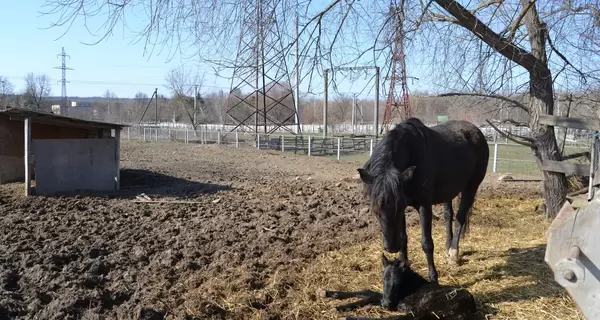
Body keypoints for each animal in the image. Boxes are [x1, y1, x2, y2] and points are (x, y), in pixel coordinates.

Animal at [324, 255, 478, 320]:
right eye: (383, 278)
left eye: (398, 283)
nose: (386, 305)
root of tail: (469, 306)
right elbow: (367, 292)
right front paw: (332, 294)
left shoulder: (397, 303)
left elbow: (370, 295)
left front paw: (340, 307)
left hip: (425, 308)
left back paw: (348, 318)